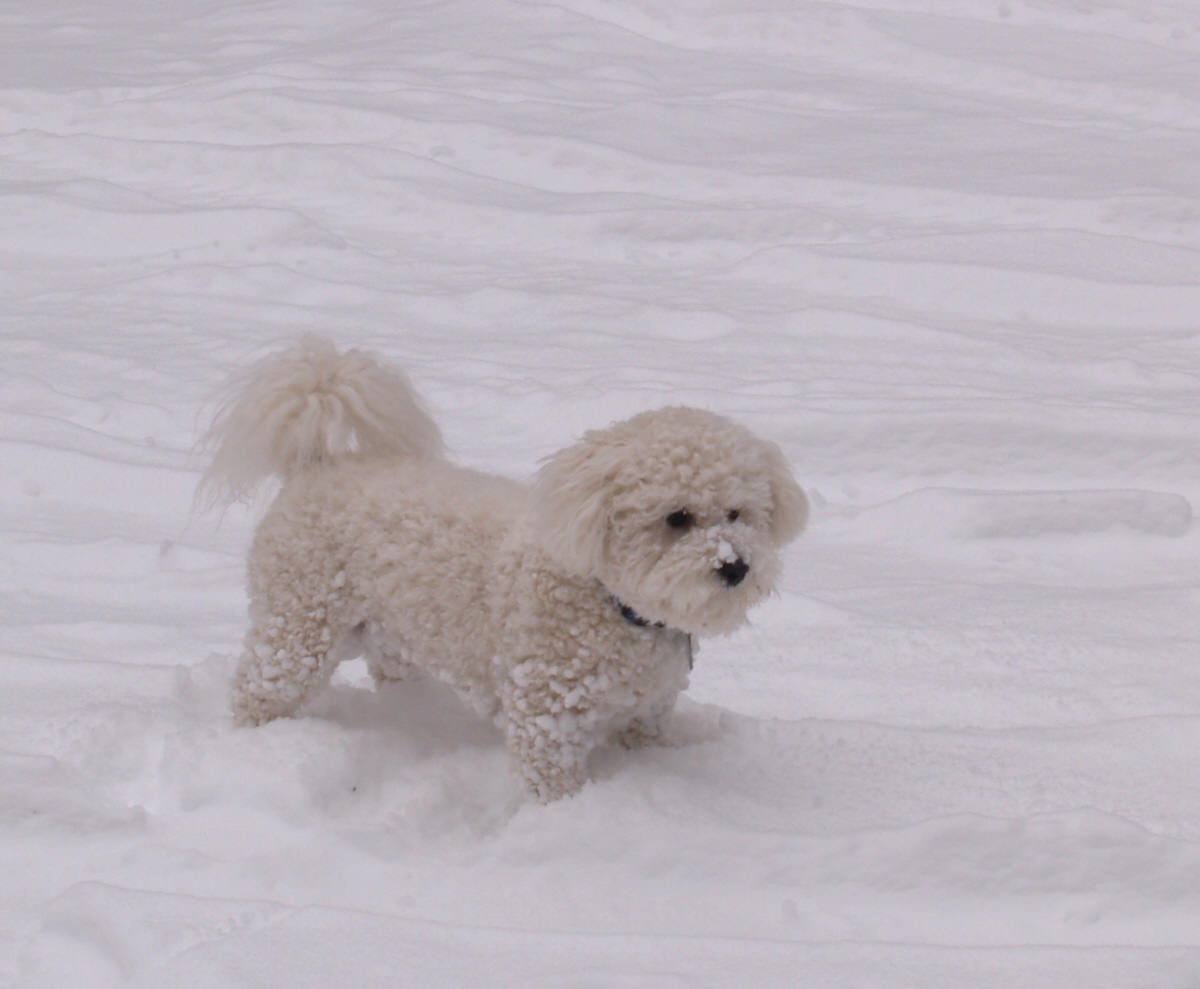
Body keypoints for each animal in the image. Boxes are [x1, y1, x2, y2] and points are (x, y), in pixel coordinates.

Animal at [204, 340, 806, 801]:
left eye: (738, 513)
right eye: (677, 518)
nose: (735, 567)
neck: (612, 601)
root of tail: (317, 466)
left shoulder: (648, 711)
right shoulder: (548, 714)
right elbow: (551, 782)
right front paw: (565, 819)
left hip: (393, 635)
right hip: (298, 624)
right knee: (261, 687)